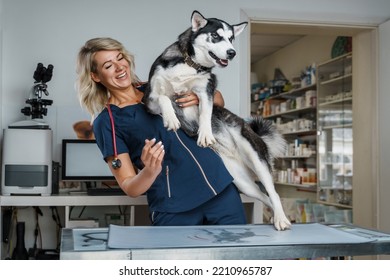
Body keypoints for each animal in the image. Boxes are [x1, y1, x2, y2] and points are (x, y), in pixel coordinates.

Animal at [145, 10, 290, 230]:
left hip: (256, 159)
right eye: (216, 36)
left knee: (273, 193)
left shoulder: (206, 91)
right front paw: (170, 117)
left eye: (231, 39)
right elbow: (164, 98)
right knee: (265, 197)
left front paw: (205, 134)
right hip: (242, 182)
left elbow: (206, 112)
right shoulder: (150, 98)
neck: (189, 65)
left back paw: (281, 219)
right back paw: (275, 216)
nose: (232, 53)